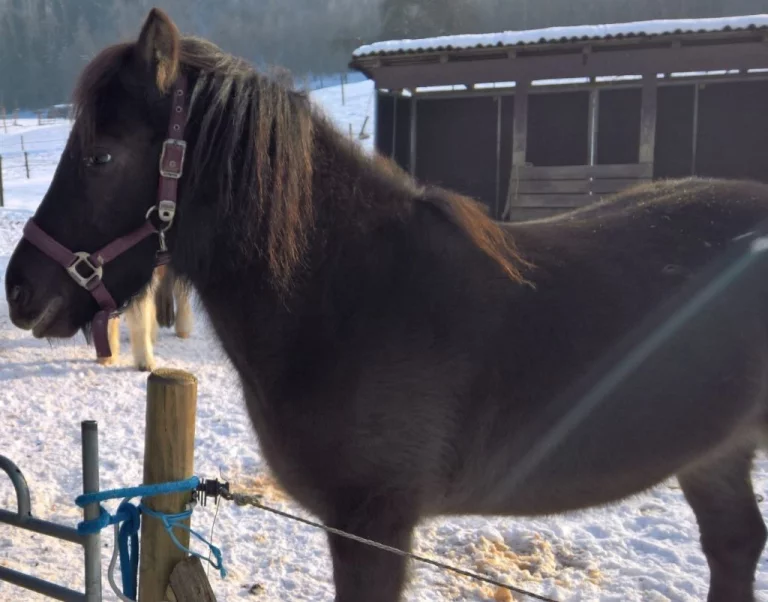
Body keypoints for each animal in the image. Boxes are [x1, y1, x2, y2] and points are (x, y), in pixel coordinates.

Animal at [4, 8, 768, 601]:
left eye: (102, 156)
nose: (19, 290)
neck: (350, 296)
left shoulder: (374, 528)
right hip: (713, 455)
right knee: (735, 545)